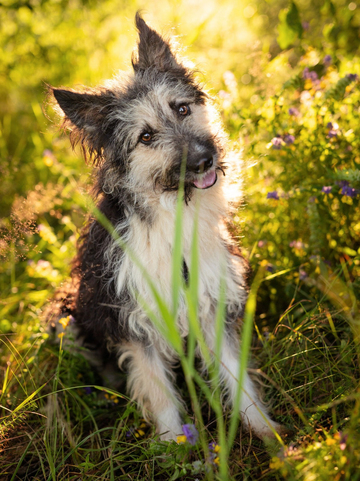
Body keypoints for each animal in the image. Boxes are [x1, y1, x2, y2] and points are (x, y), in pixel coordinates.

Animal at [49, 13, 280, 440]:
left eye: (182, 108)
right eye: (146, 136)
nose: (205, 160)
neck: (175, 215)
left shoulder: (212, 301)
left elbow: (236, 376)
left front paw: (268, 433)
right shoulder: (136, 322)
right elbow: (160, 395)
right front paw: (178, 447)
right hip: (65, 317)